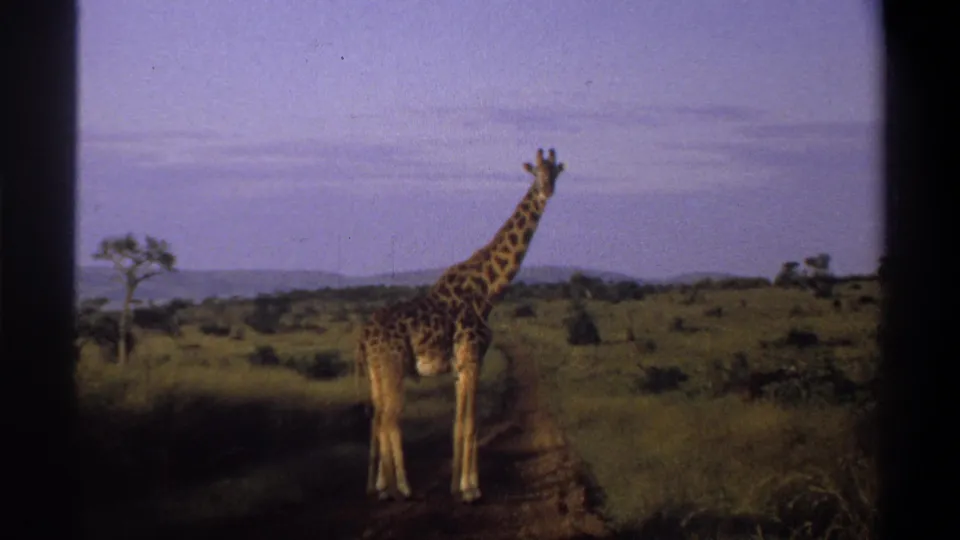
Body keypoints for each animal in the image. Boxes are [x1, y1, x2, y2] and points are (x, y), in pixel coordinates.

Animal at [356, 148, 566, 503]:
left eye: (555, 173)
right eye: (535, 173)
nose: (546, 191)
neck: (489, 290)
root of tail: (364, 335)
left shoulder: (459, 366)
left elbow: (458, 423)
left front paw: (457, 486)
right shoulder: (471, 357)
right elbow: (471, 423)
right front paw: (472, 489)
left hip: (376, 370)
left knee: (378, 417)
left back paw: (380, 486)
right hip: (394, 366)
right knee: (390, 418)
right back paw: (403, 488)